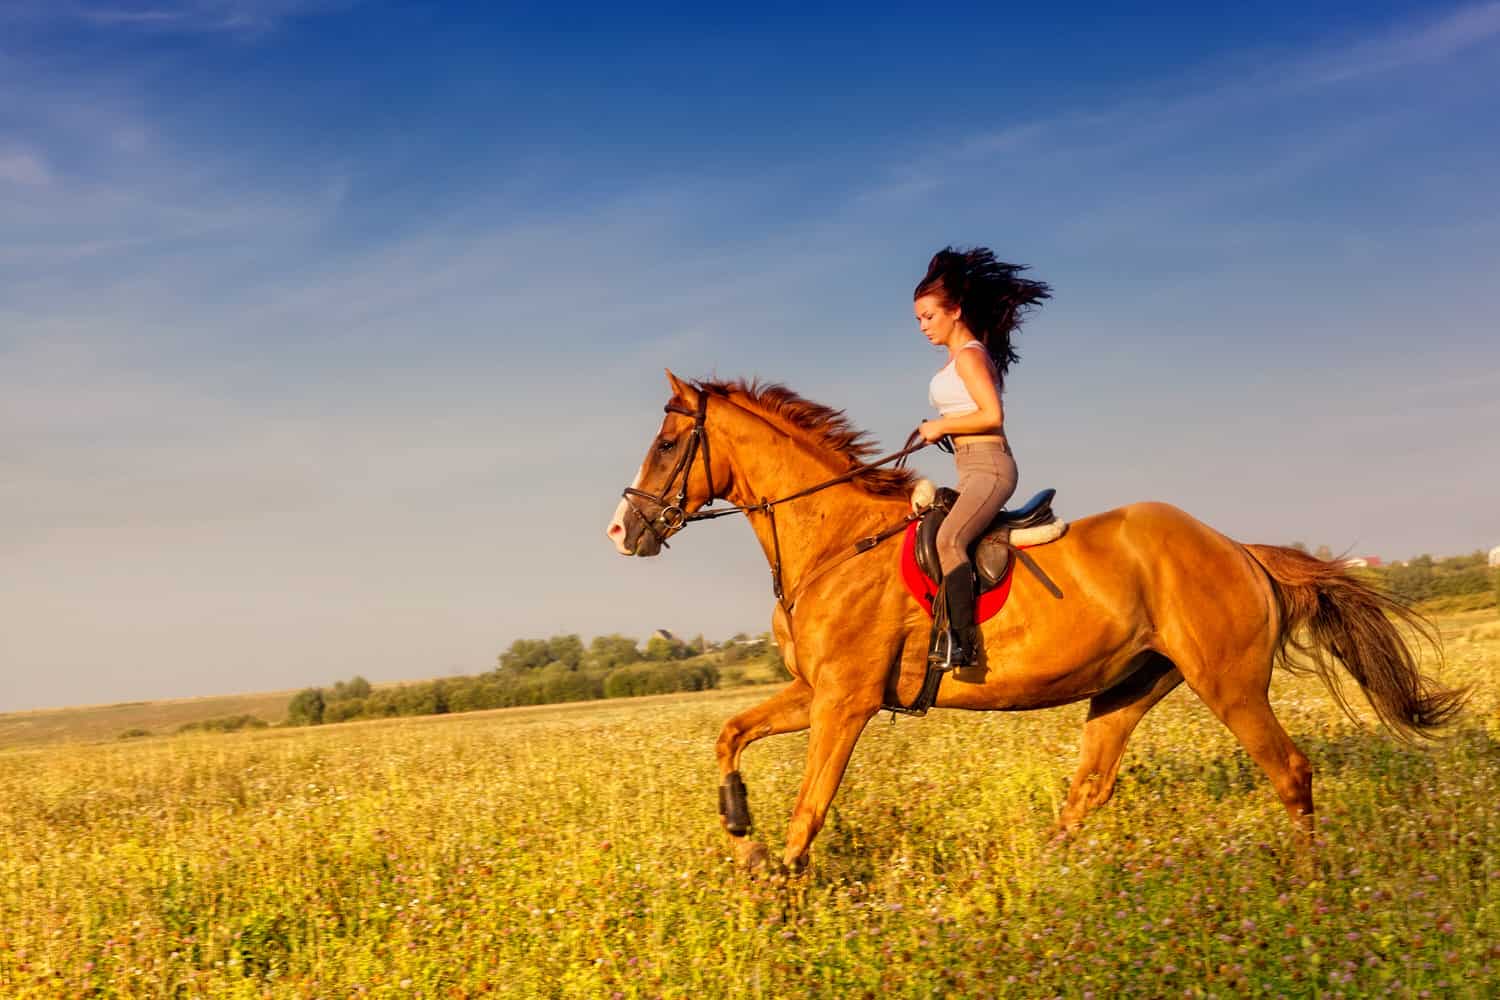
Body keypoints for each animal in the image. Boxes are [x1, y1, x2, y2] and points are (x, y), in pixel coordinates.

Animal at [603, 371, 1458, 869]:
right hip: (1129, 688)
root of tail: (1237, 548)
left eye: (669, 443)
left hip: (1230, 683)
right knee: (1091, 788)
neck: (836, 538)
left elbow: (811, 806)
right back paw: (1048, 881)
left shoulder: (846, 701)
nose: (622, 530)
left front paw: (780, 890)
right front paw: (740, 830)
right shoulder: (817, 691)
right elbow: (730, 734)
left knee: (1290, 772)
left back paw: (1311, 888)